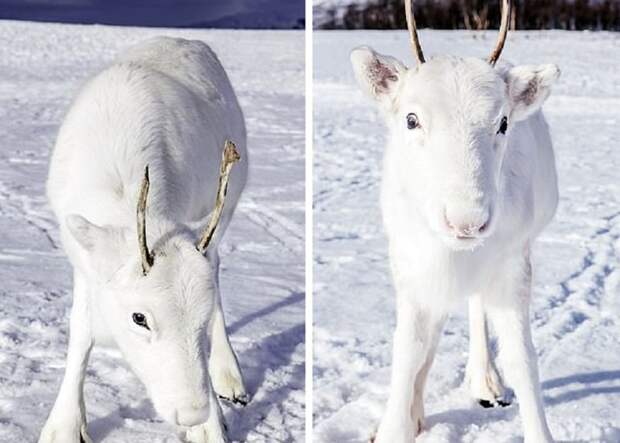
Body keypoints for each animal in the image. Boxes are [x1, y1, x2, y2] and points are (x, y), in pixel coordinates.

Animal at [39, 37, 249, 443]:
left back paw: (229, 375)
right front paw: (64, 427)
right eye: (139, 318)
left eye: (200, 317)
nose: (192, 411)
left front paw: (211, 427)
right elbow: (81, 329)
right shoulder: (85, 260)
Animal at [354, 1, 560, 442]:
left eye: (503, 122)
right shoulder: (411, 264)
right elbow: (409, 348)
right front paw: (395, 425)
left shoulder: (512, 264)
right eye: (411, 119)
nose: (467, 221)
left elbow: (523, 359)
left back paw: (485, 381)